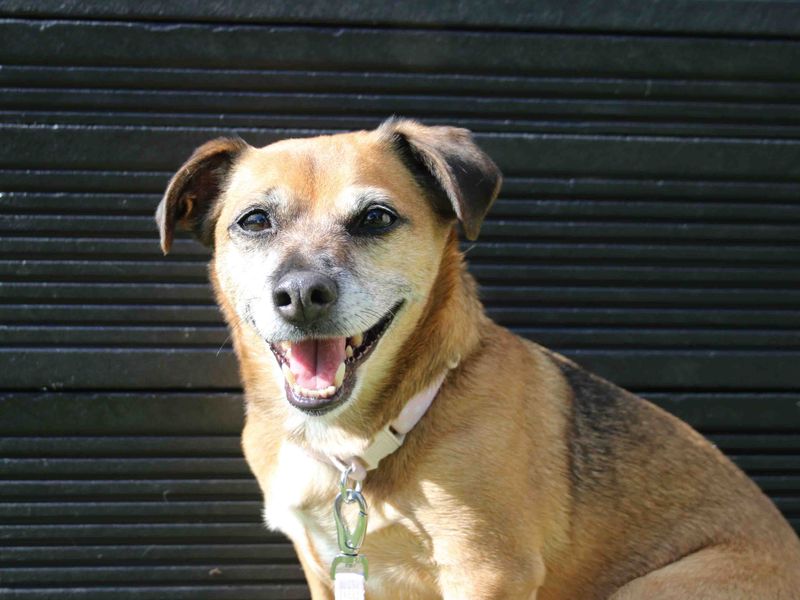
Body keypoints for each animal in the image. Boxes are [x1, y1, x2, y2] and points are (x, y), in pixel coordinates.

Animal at [158, 119, 800, 596]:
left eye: (376, 218)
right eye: (254, 221)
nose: (300, 294)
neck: (354, 442)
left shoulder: (488, 572)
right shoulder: (329, 568)